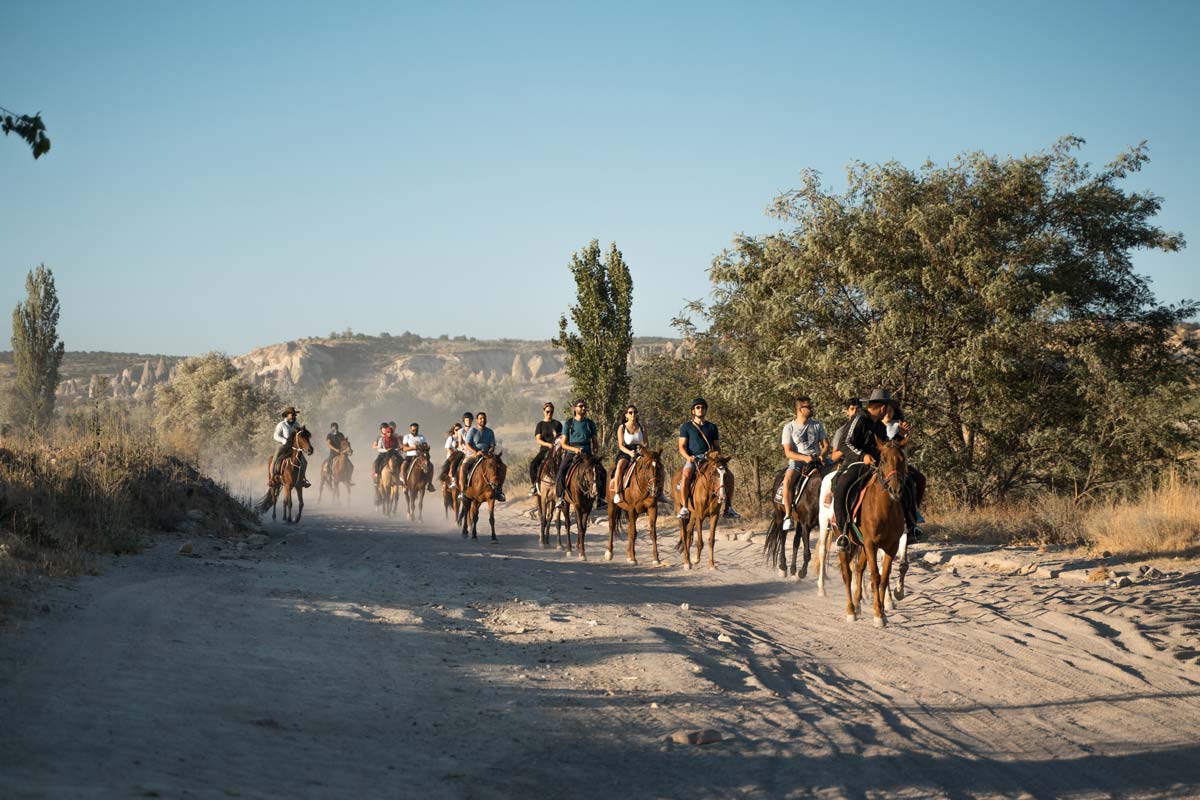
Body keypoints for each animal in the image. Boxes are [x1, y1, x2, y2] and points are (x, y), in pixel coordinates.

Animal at [840, 434, 902, 628]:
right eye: (883, 460)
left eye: (903, 460)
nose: (895, 489)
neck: (883, 509)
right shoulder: (870, 544)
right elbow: (875, 577)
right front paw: (877, 615)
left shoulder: (891, 546)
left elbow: (883, 578)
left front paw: (882, 612)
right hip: (843, 540)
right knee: (847, 574)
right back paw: (850, 611)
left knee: (859, 568)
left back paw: (858, 604)